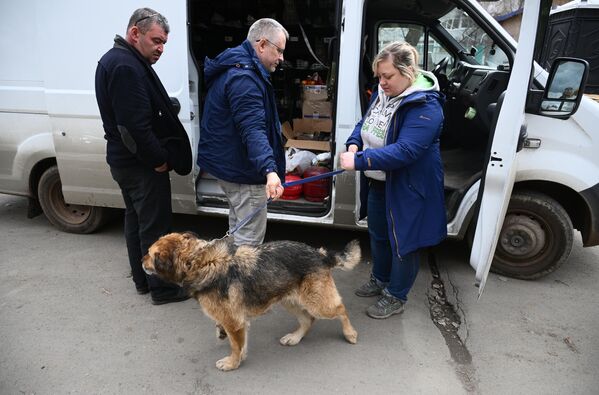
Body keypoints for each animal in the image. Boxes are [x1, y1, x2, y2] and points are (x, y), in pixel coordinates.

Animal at [143, 232, 364, 372]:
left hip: (317, 302)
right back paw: (295, 337)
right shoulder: (236, 322)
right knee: (308, 320)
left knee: (341, 309)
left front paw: (232, 363)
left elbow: (235, 346)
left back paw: (350, 333)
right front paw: (235, 354)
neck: (197, 261)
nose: (140, 260)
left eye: (149, 254)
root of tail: (320, 254)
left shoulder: (234, 323)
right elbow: (239, 343)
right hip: (289, 300)